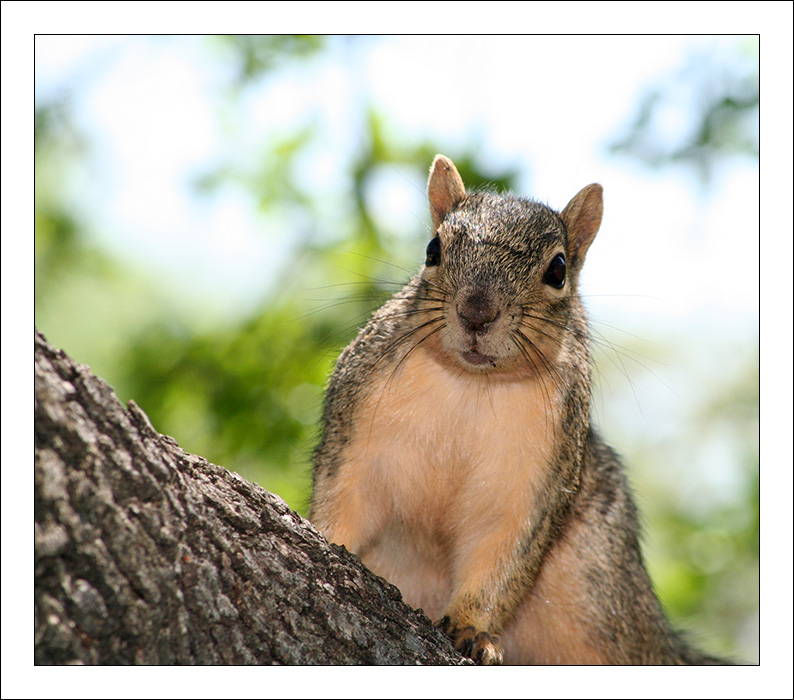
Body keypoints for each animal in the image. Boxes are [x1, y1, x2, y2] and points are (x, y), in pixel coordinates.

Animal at [308, 154, 724, 668]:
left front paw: (472, 630)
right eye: (432, 249)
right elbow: (343, 494)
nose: (476, 312)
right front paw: (326, 538)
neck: (472, 384)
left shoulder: (535, 481)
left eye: (558, 270)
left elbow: (504, 555)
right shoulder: (358, 431)